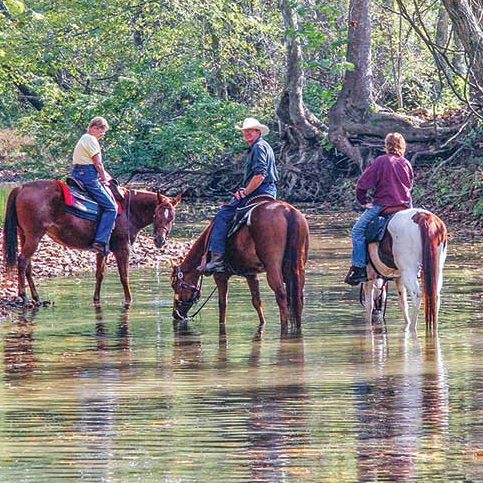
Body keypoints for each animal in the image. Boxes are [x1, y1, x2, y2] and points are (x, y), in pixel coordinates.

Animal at [3, 182, 182, 306]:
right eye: (156, 214)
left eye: (172, 217)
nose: (160, 241)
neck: (129, 210)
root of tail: (21, 187)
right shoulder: (122, 248)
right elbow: (124, 276)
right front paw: (129, 300)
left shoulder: (102, 250)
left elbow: (99, 274)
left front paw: (96, 299)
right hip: (34, 236)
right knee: (22, 261)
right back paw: (24, 296)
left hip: (24, 235)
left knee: (27, 265)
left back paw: (36, 297)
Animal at [170, 199, 310, 334]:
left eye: (174, 285)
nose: (176, 314)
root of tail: (288, 211)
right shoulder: (251, 274)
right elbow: (256, 301)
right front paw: (262, 324)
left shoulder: (220, 275)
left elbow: (223, 304)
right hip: (297, 267)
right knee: (298, 297)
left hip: (273, 267)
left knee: (281, 295)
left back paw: (284, 328)